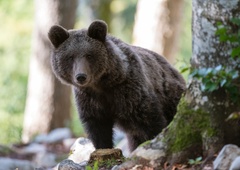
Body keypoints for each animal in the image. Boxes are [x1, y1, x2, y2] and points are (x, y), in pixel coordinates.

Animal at [47, 20, 186, 151]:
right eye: (70, 57)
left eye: (89, 55)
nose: (81, 76)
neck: (101, 84)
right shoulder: (89, 100)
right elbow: (99, 130)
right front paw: (103, 148)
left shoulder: (129, 92)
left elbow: (151, 122)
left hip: (171, 96)